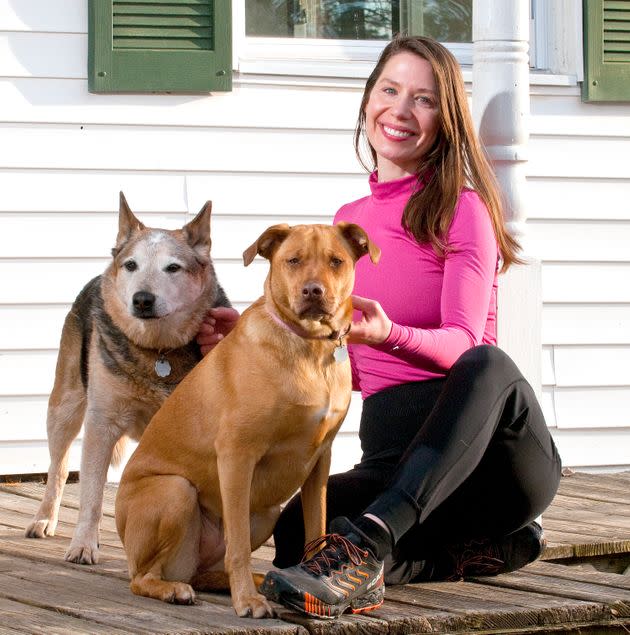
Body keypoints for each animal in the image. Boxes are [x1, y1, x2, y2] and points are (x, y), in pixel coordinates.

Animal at [115, 222, 380, 616]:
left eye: (336, 261)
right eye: (293, 260)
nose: (313, 291)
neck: (311, 347)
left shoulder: (321, 460)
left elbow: (316, 528)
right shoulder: (237, 455)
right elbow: (238, 547)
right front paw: (247, 601)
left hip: (267, 511)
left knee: (205, 571)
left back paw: (255, 580)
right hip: (176, 491)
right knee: (143, 577)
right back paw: (176, 589)